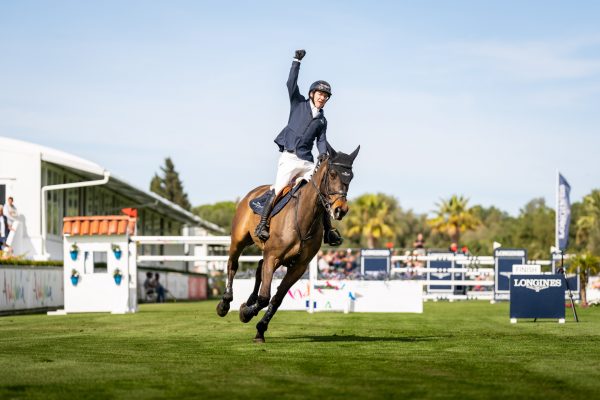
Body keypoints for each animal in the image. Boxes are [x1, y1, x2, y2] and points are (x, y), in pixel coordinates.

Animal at [216, 142, 358, 342]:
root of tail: (253, 192)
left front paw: (260, 328)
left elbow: (276, 299)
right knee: (232, 265)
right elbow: (265, 297)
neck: (304, 217)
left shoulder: (298, 267)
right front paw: (245, 313)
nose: (341, 210)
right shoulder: (273, 257)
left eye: (351, 177)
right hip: (239, 241)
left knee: (258, 267)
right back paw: (225, 303)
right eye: (332, 174)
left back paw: (249, 301)